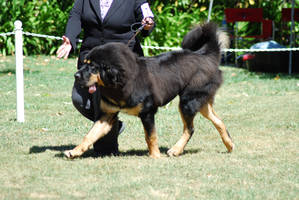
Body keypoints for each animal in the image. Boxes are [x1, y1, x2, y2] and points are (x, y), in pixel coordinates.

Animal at [64, 21, 236, 159]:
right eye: (85, 63)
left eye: (93, 67)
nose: (76, 75)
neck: (119, 83)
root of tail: (206, 55)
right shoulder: (107, 115)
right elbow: (90, 135)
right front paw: (75, 151)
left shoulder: (147, 112)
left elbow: (150, 136)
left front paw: (155, 156)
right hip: (200, 102)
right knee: (218, 121)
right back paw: (230, 145)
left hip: (188, 101)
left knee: (190, 129)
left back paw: (175, 150)